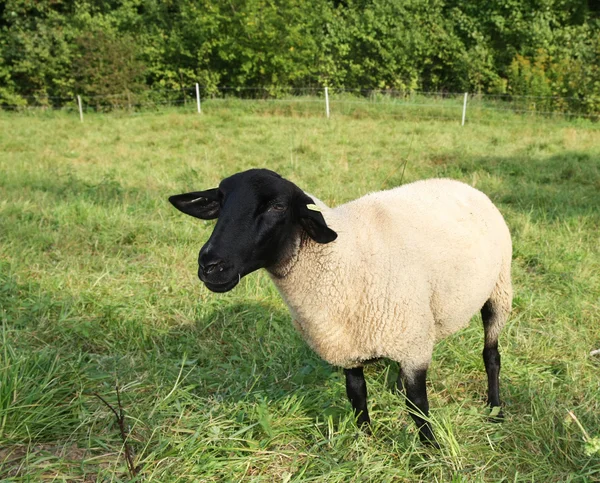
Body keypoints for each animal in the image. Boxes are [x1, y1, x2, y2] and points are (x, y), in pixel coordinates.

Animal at [169, 169, 510, 446]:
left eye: (278, 206)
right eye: (220, 203)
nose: (210, 266)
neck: (340, 255)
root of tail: (461, 184)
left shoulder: (412, 344)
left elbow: (417, 405)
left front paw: (431, 449)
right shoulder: (346, 345)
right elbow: (357, 395)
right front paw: (366, 441)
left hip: (499, 289)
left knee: (491, 355)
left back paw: (495, 408)